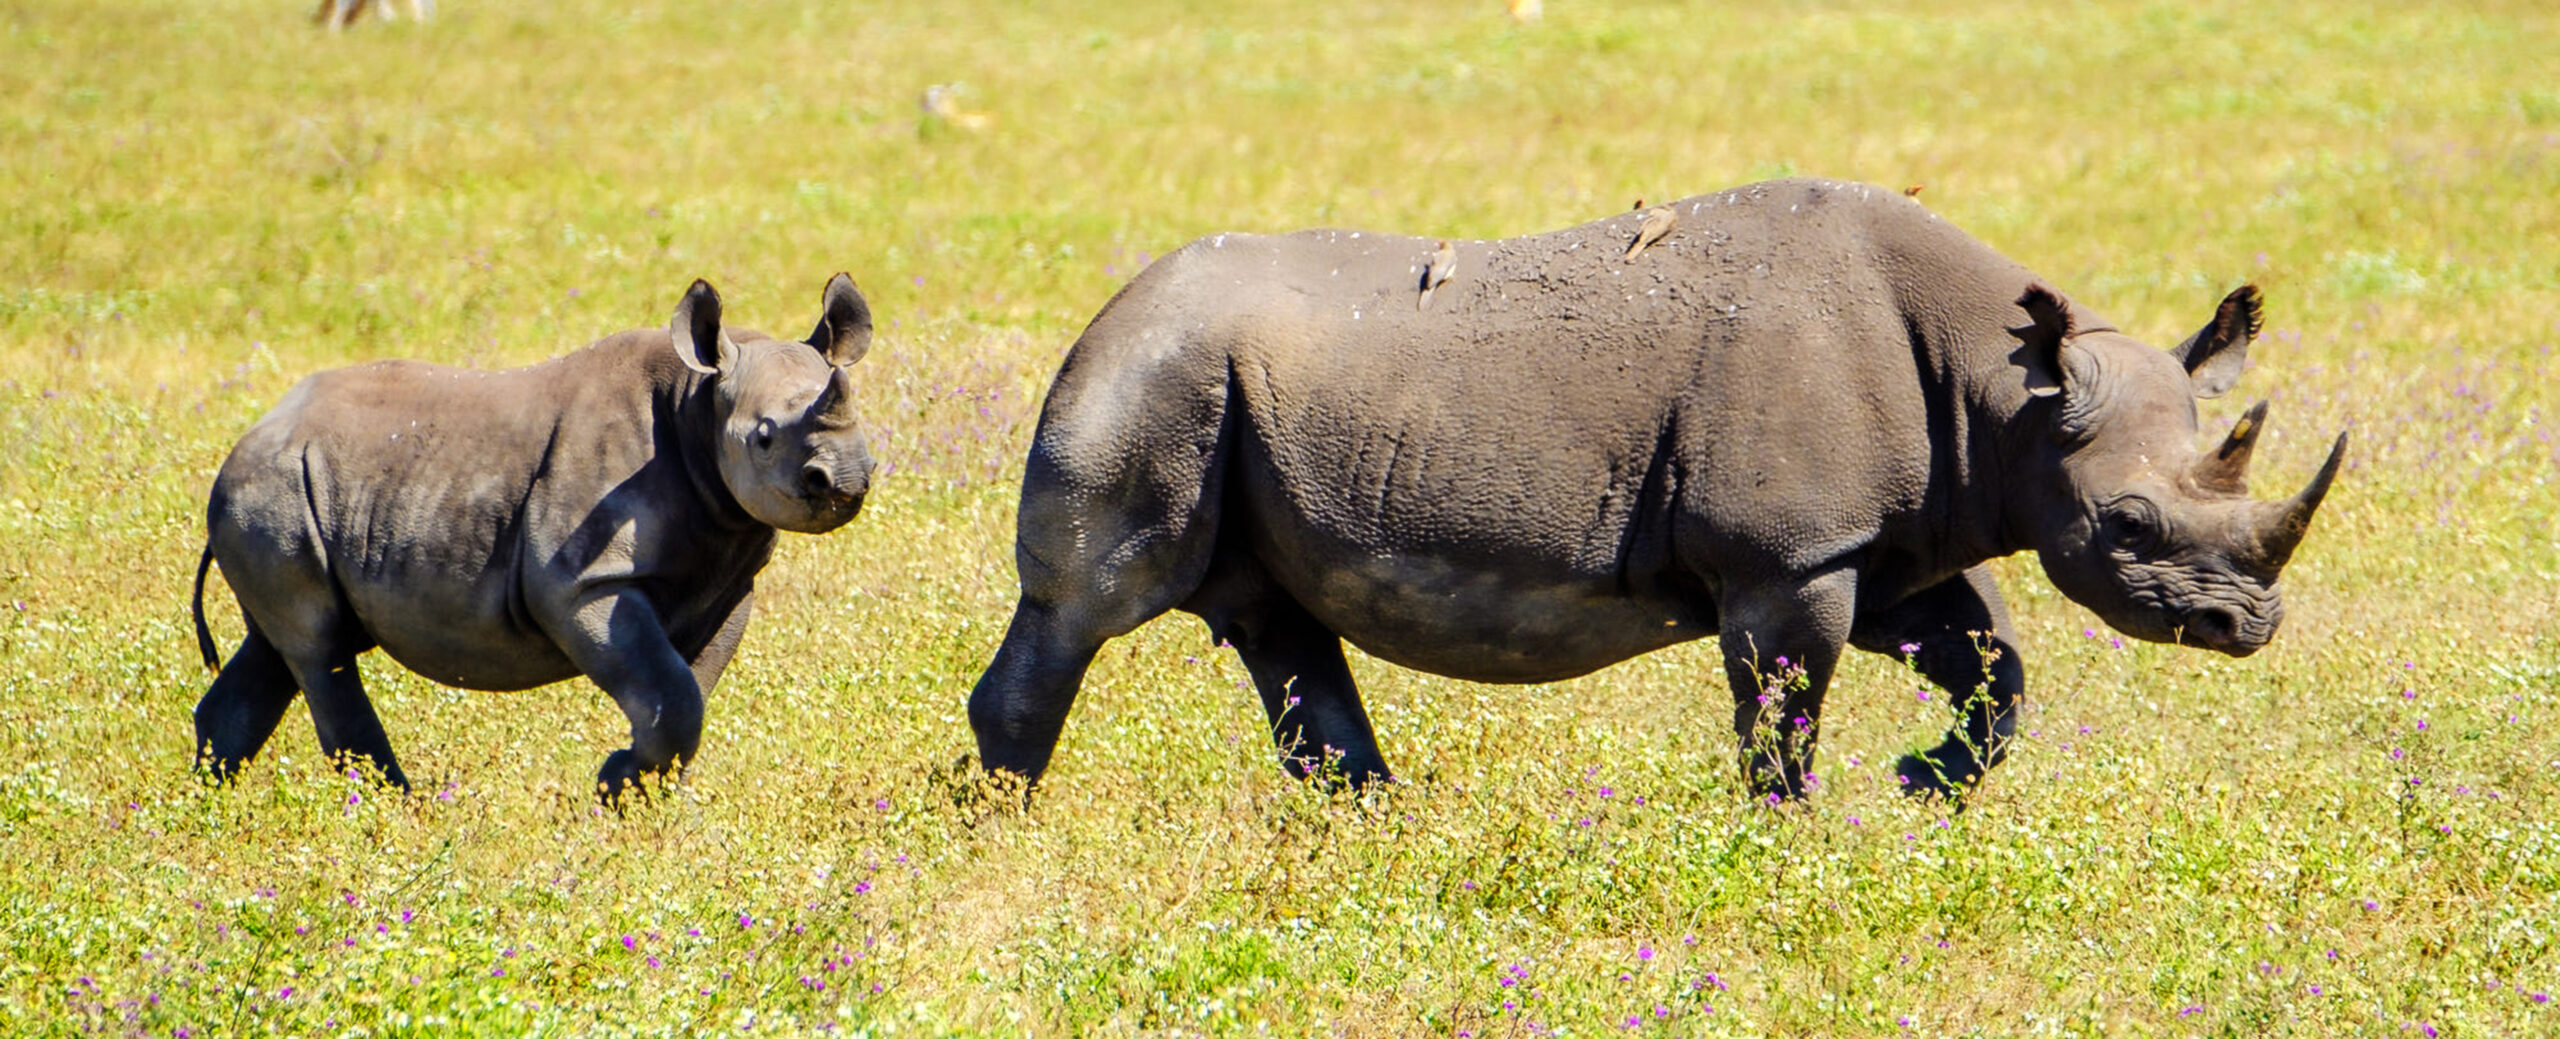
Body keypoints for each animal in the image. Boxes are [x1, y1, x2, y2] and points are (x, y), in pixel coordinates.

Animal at [190, 274, 878, 800]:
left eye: (862, 422)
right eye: (763, 437)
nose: (844, 478)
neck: (699, 405)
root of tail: (249, 437)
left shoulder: (728, 581)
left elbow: (689, 688)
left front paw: (643, 798)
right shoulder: (581, 584)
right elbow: (673, 693)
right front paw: (615, 788)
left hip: (287, 493)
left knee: (281, 649)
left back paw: (210, 806)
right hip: (274, 488)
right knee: (320, 648)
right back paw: (398, 813)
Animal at [968, 178, 2345, 799]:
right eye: (2130, 523)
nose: (2243, 625)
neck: (2005, 398)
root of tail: (1102, 311)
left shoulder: (1883, 540)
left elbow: (1993, 664)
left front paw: (1919, 780)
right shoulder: (1787, 555)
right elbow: (1782, 707)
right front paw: (1782, 833)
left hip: (1223, 388)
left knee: (1277, 622)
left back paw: (1370, 830)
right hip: (1151, 375)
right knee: (1088, 605)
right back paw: (1002, 822)